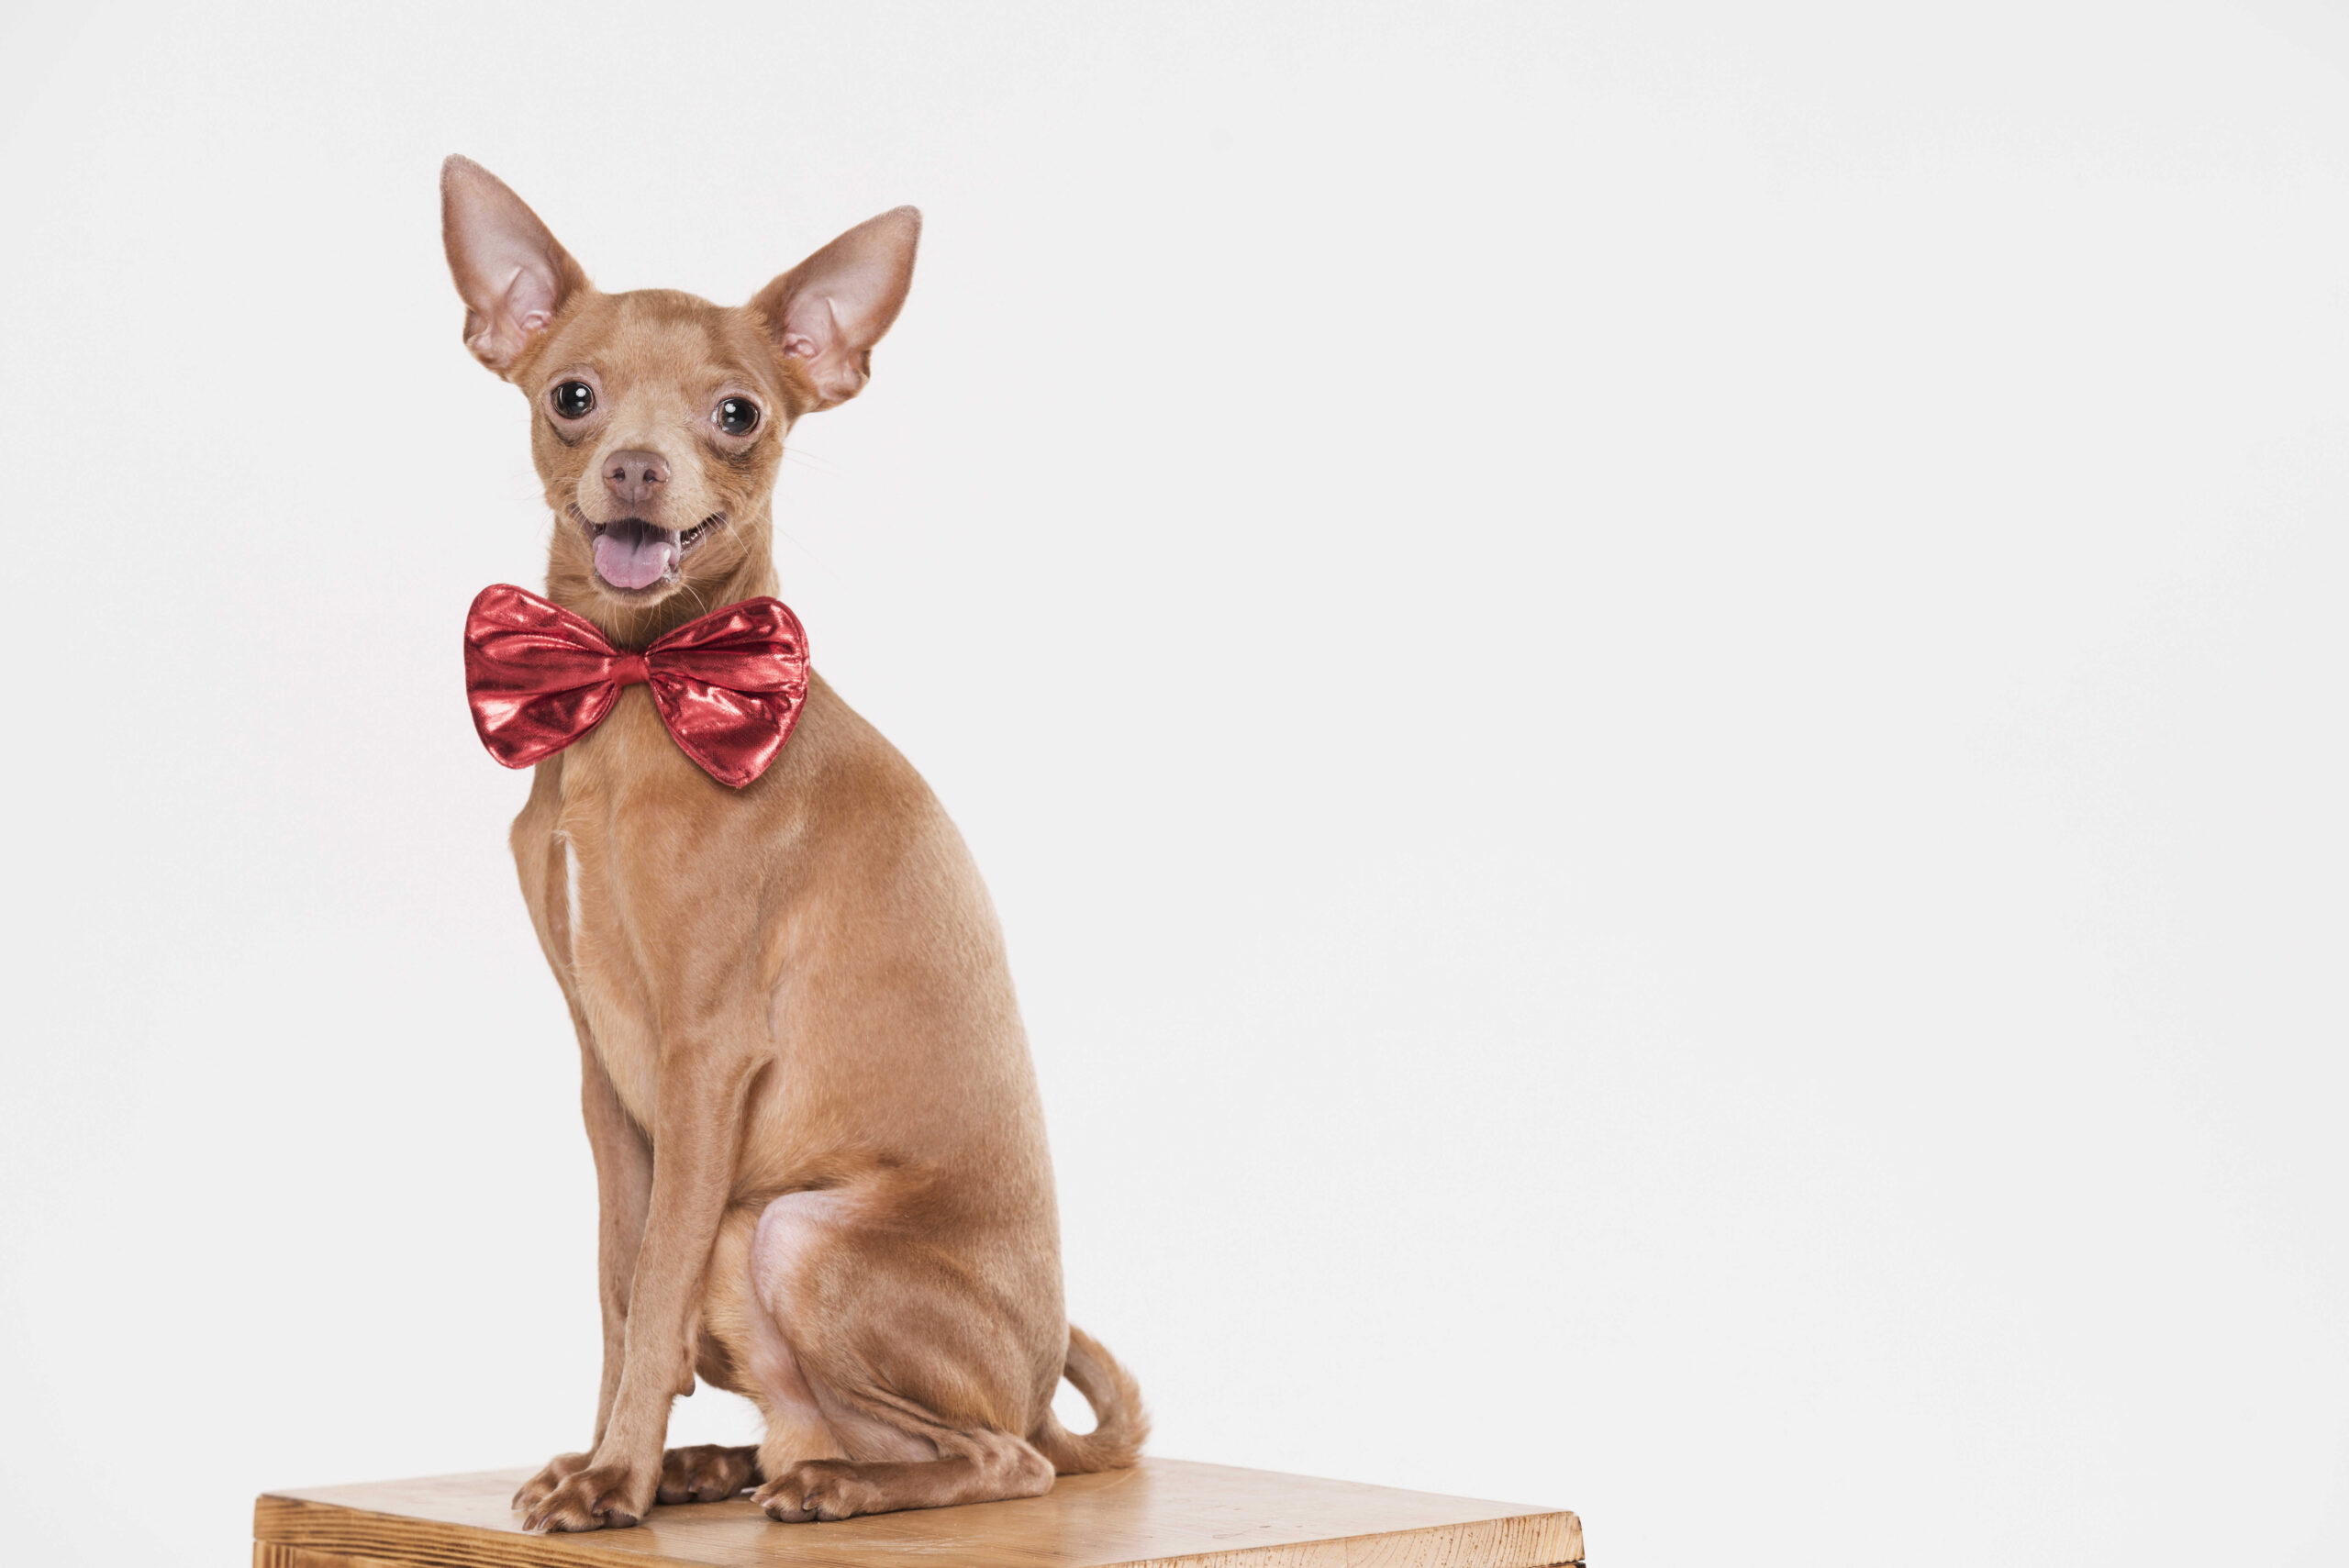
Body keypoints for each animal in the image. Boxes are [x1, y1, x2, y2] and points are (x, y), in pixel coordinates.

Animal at [441, 156, 1146, 1530]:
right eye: (571, 396)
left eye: (738, 414)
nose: (636, 470)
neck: (639, 687)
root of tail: (1039, 1386)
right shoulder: (611, 1086)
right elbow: (620, 1289)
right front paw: (610, 1461)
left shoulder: (705, 1059)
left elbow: (652, 1285)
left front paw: (614, 1475)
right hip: (752, 1240)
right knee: (826, 1419)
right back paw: (727, 1465)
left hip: (791, 1234)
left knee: (1004, 1460)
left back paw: (830, 1486)